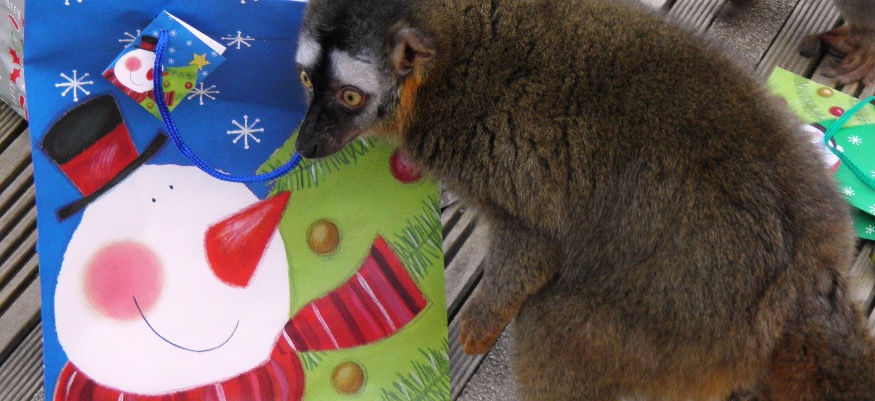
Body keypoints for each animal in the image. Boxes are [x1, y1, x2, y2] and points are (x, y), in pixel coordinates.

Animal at [293, 0, 875, 399]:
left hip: (683, 335)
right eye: (305, 80)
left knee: (551, 327)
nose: (305, 143)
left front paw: (479, 328)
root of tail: (809, 278)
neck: (445, 64)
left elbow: (533, 245)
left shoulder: (492, 153)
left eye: (350, 97)